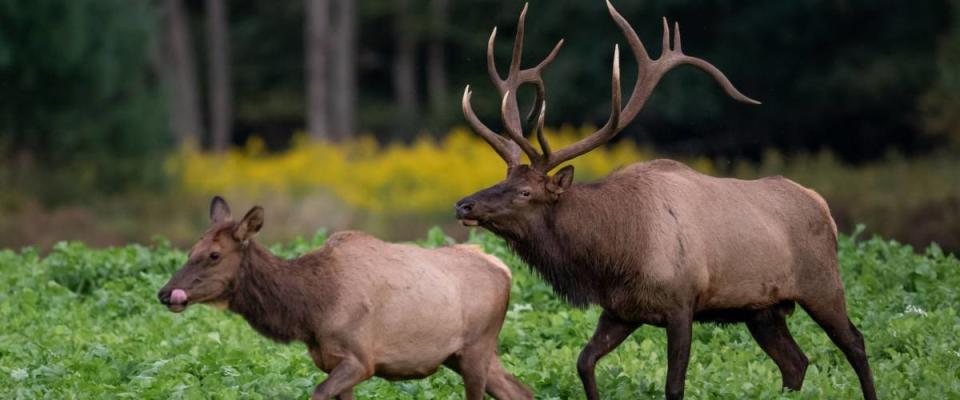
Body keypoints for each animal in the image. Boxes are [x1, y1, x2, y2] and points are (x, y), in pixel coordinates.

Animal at [158, 197, 532, 400]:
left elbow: (317, 392)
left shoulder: (361, 359)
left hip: (477, 347)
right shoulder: (333, 360)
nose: (165, 293)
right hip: (464, 354)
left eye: (214, 255)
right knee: (521, 390)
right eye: (191, 250)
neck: (310, 311)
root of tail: (503, 268)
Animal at [456, 3, 876, 400]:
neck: (615, 254)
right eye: (504, 179)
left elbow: (674, 386)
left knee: (855, 342)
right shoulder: (620, 310)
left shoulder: (681, 303)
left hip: (822, 283)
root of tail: (822, 204)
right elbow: (583, 363)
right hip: (762, 308)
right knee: (795, 362)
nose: (464, 205)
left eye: (526, 192)